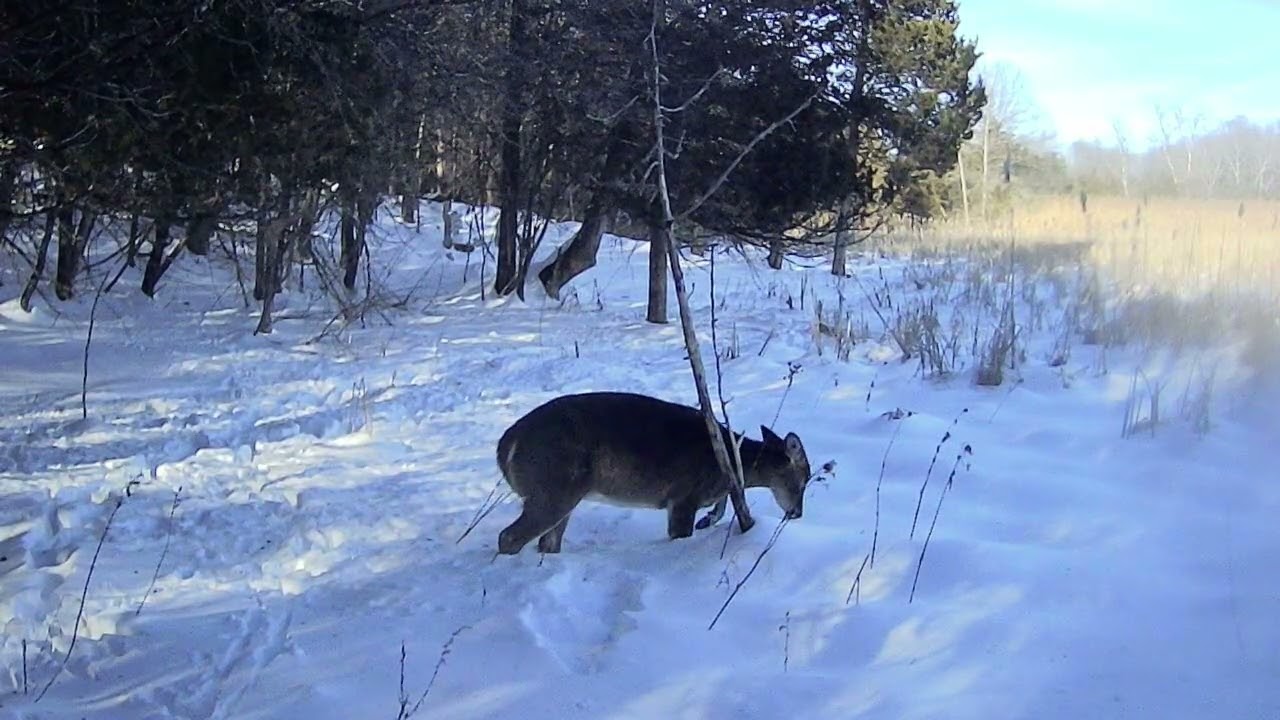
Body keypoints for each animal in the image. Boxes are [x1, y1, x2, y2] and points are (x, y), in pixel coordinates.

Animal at [494, 391, 810, 554]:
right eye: (804, 478)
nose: (797, 513)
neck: (731, 458)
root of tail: (505, 446)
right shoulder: (684, 495)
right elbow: (679, 532)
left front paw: (707, 520)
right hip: (554, 485)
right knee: (509, 537)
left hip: (560, 492)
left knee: (547, 541)